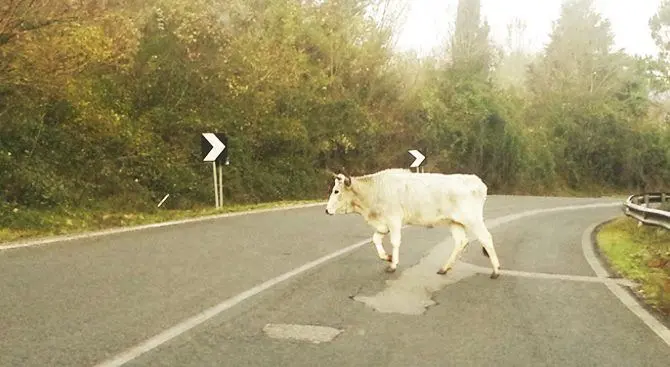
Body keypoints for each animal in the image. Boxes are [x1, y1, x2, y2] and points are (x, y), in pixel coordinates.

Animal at [326, 169, 504, 278]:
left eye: (336, 191)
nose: (327, 210)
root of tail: (476, 180)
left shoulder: (394, 220)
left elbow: (395, 242)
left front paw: (393, 265)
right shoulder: (383, 224)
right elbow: (376, 239)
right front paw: (387, 257)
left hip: (473, 220)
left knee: (486, 238)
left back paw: (495, 270)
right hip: (455, 222)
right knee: (461, 242)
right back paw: (444, 268)